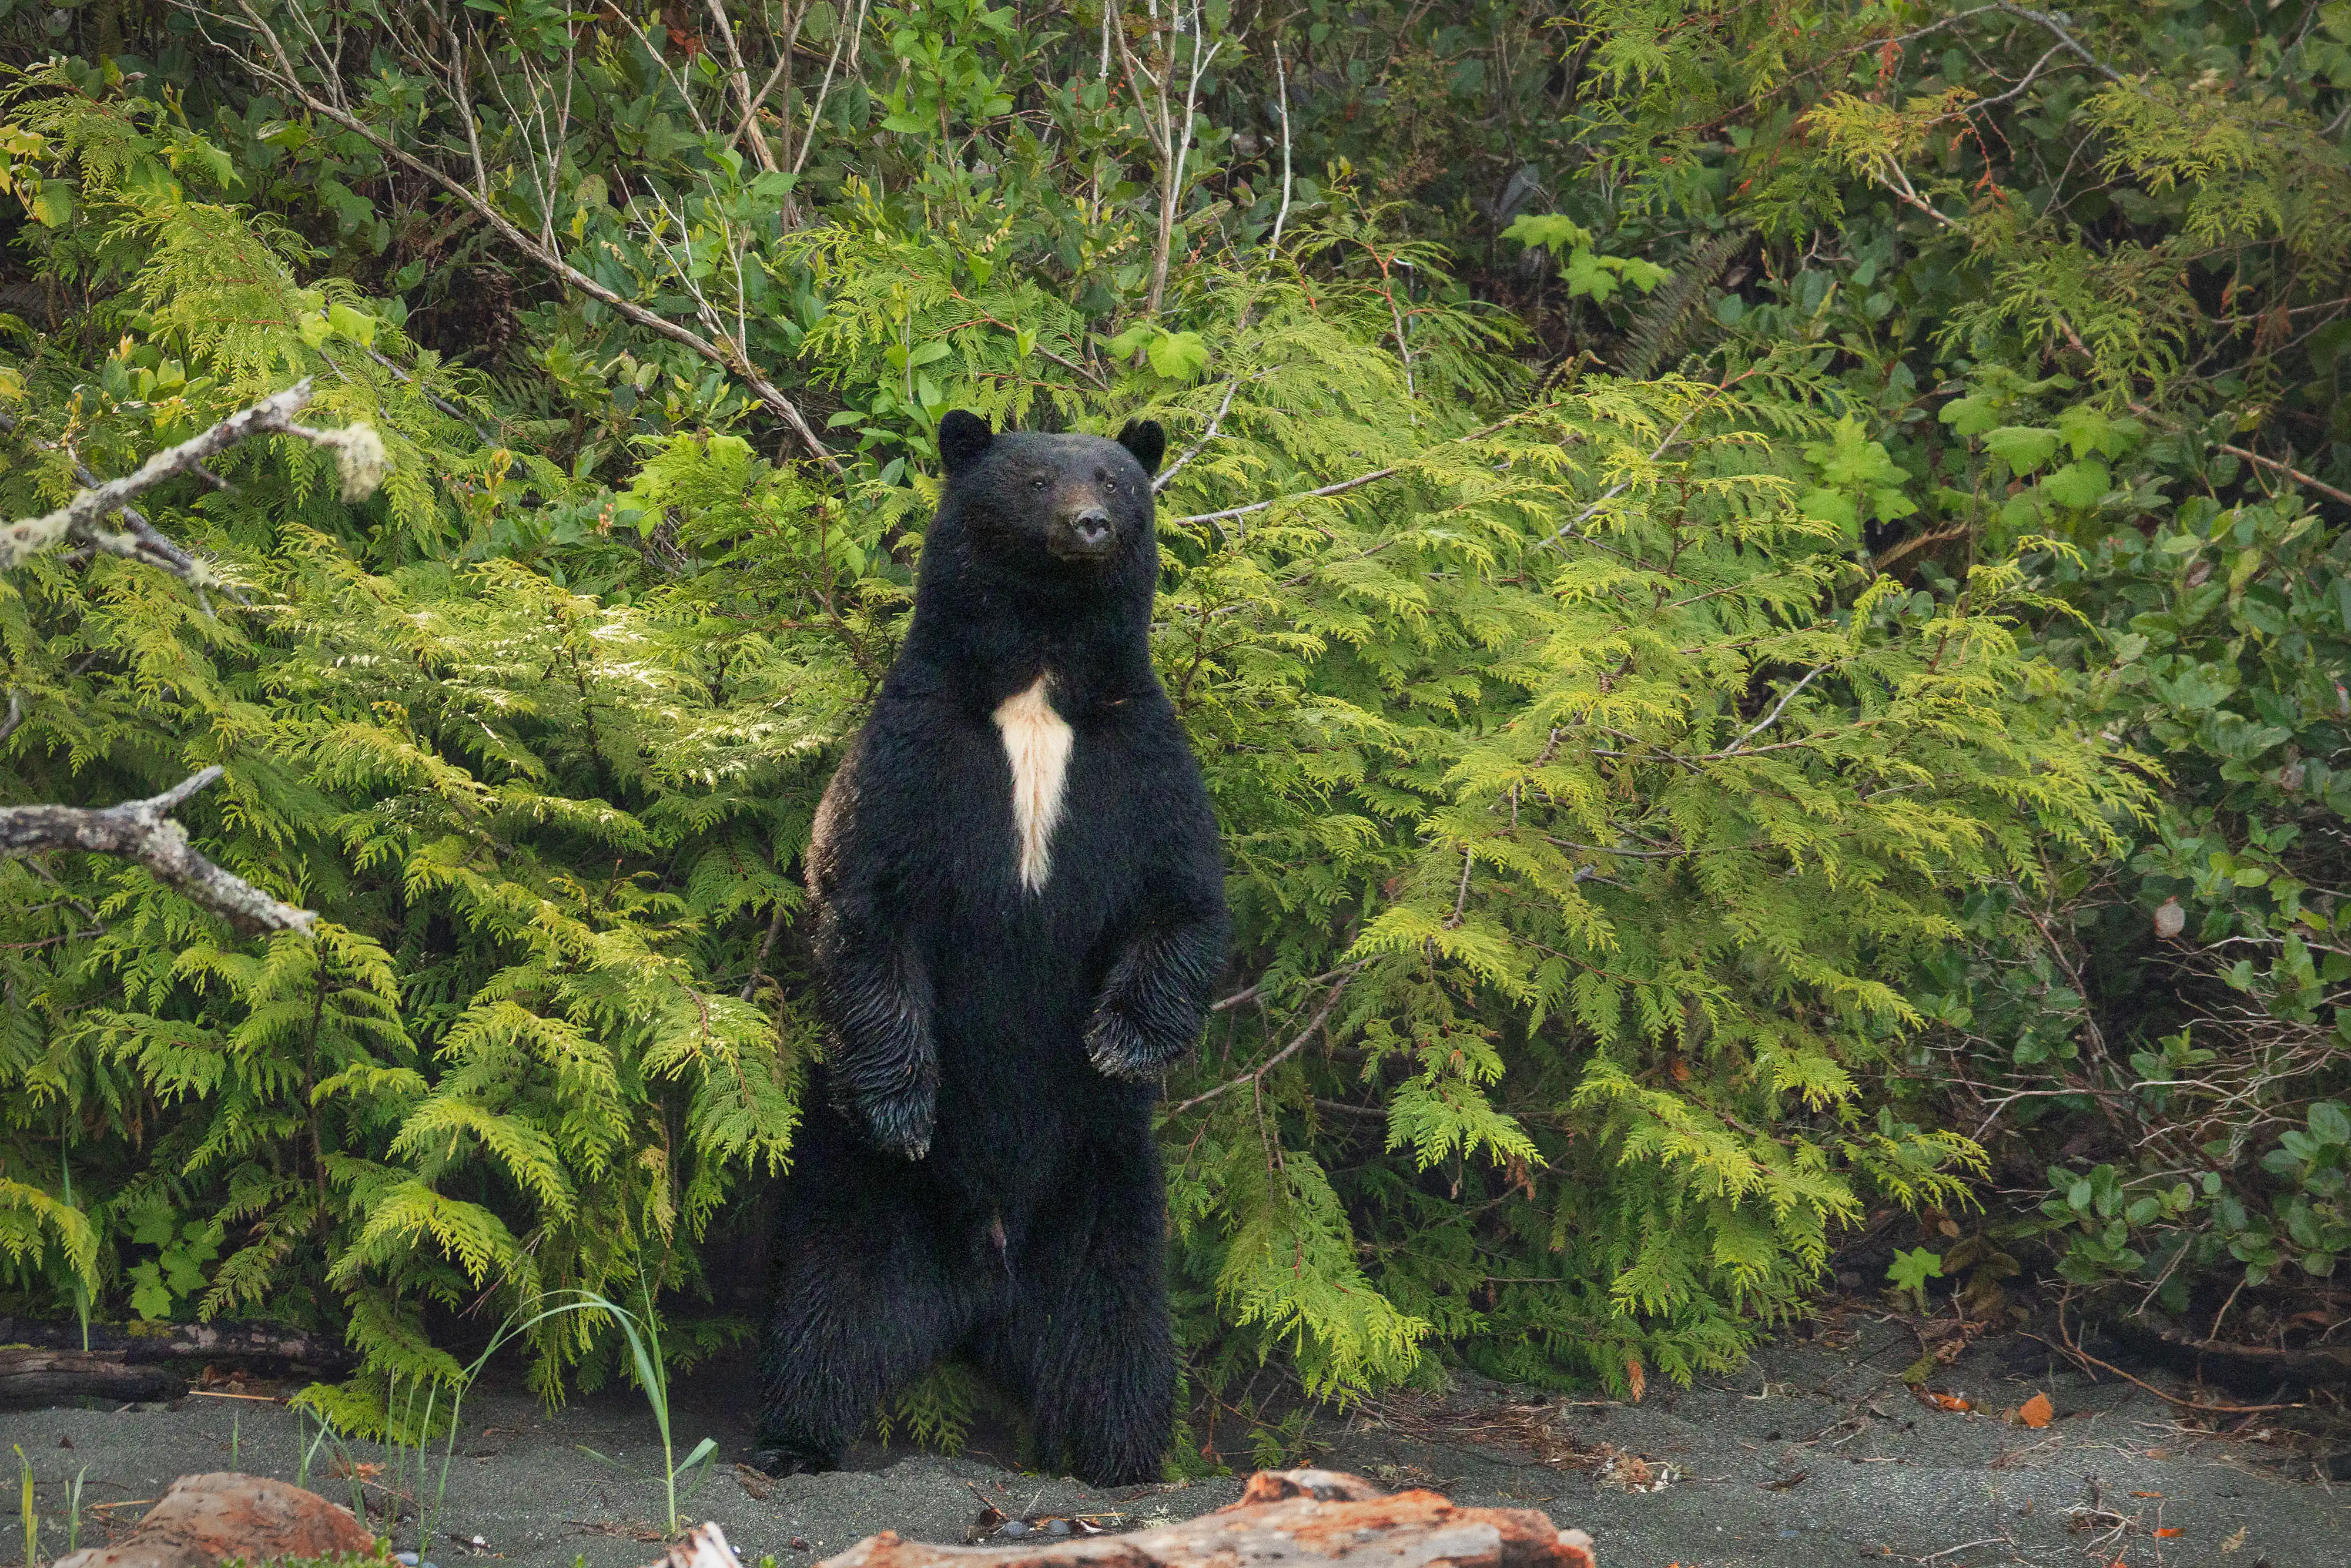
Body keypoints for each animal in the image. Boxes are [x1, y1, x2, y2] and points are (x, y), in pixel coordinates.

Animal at [753, 408, 1230, 1486]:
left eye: (1116, 479)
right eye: (1040, 478)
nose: (1091, 525)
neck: (1039, 689)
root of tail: (984, 1282)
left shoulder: (1141, 757)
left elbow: (1183, 898)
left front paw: (1119, 1042)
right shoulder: (914, 748)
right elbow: (865, 895)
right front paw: (903, 1103)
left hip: (1107, 1194)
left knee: (1118, 1342)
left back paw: (1129, 1458)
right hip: (864, 1198)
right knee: (827, 1316)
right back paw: (791, 1437)